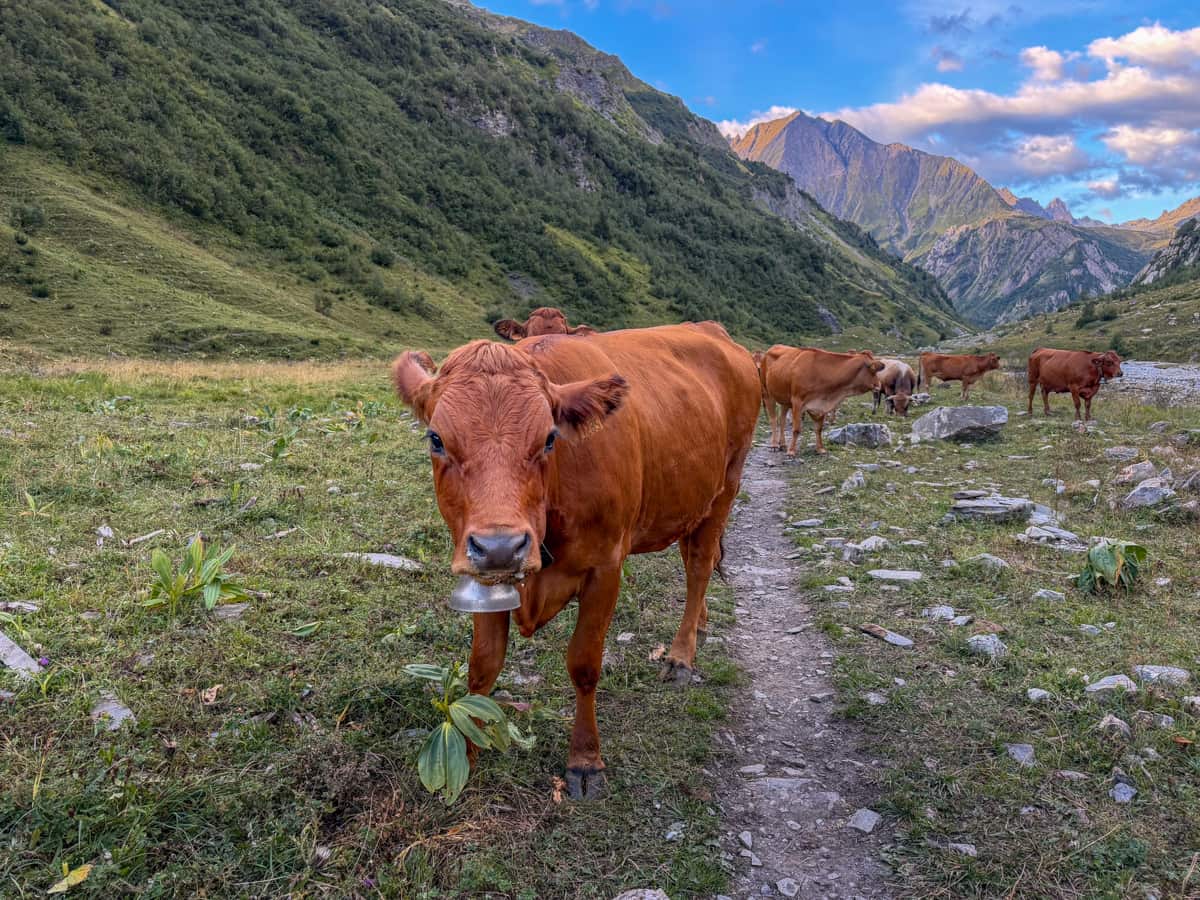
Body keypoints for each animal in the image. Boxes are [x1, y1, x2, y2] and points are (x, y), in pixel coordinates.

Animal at [391, 323, 759, 800]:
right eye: (436, 439)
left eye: (550, 438)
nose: (500, 546)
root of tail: (713, 331)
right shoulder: (483, 575)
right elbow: (483, 665)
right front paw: (469, 753)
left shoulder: (606, 568)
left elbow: (584, 664)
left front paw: (585, 760)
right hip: (691, 498)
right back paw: (701, 625)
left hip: (727, 485)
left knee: (698, 566)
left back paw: (681, 656)